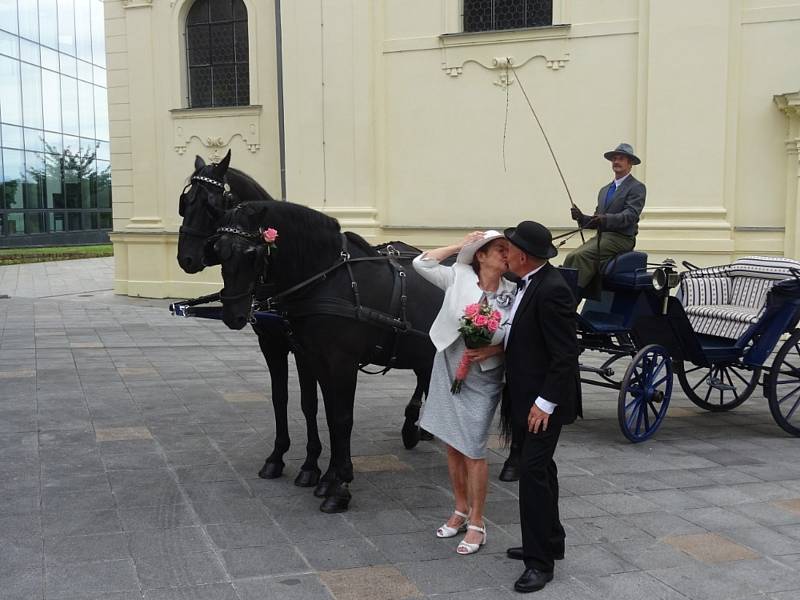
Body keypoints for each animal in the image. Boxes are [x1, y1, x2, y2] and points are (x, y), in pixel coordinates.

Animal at [208, 202, 444, 510]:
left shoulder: (342, 361)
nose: (232, 314)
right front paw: (325, 474)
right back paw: (416, 427)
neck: (327, 280)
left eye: (252, 253)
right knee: (427, 379)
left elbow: (342, 417)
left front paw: (339, 486)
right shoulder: (313, 357)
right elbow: (324, 411)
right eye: (218, 249)